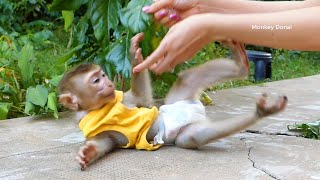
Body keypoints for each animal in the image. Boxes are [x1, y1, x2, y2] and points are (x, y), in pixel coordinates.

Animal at [57, 33, 288, 171]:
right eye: (96, 80)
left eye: (103, 75)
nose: (107, 83)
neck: (100, 107)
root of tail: (196, 109)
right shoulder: (96, 129)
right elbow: (104, 143)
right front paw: (87, 154)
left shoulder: (123, 98)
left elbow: (141, 99)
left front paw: (134, 55)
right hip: (184, 126)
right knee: (194, 135)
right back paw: (260, 108)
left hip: (181, 98)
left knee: (187, 79)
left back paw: (241, 64)